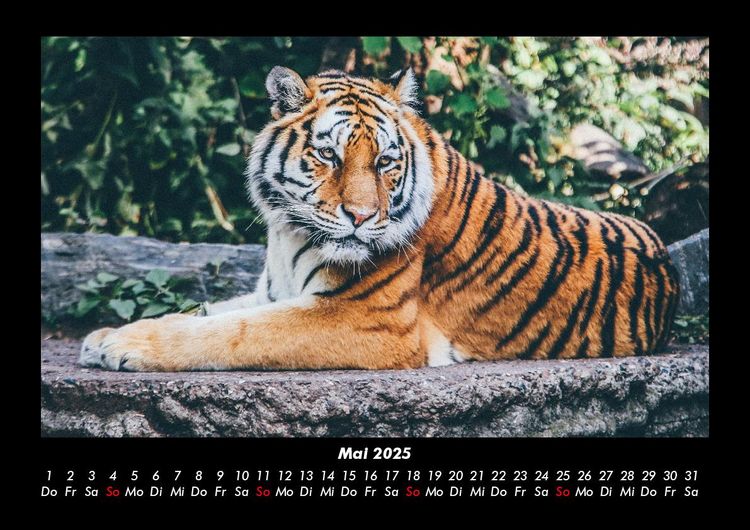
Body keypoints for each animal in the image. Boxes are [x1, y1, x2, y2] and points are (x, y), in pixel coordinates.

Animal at [79, 66, 680, 372]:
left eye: (386, 162)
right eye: (329, 155)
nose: (362, 216)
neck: (287, 234)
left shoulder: (365, 320)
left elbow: (232, 333)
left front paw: (123, 347)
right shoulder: (273, 291)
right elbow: (205, 312)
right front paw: (107, 335)